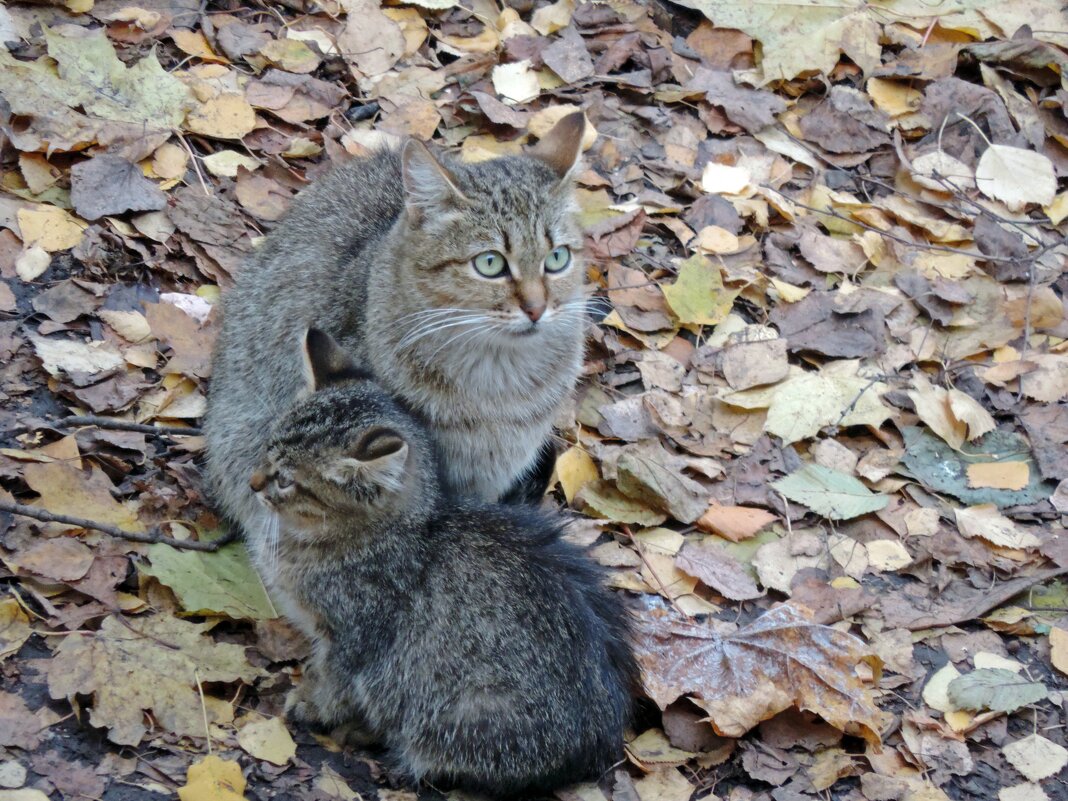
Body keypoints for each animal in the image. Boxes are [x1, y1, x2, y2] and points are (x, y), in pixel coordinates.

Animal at [256, 331, 640, 798]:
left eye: (285, 479)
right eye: (266, 449)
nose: (253, 483)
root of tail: (600, 743)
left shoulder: (354, 638)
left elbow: (335, 682)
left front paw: (313, 703)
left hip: (462, 713)